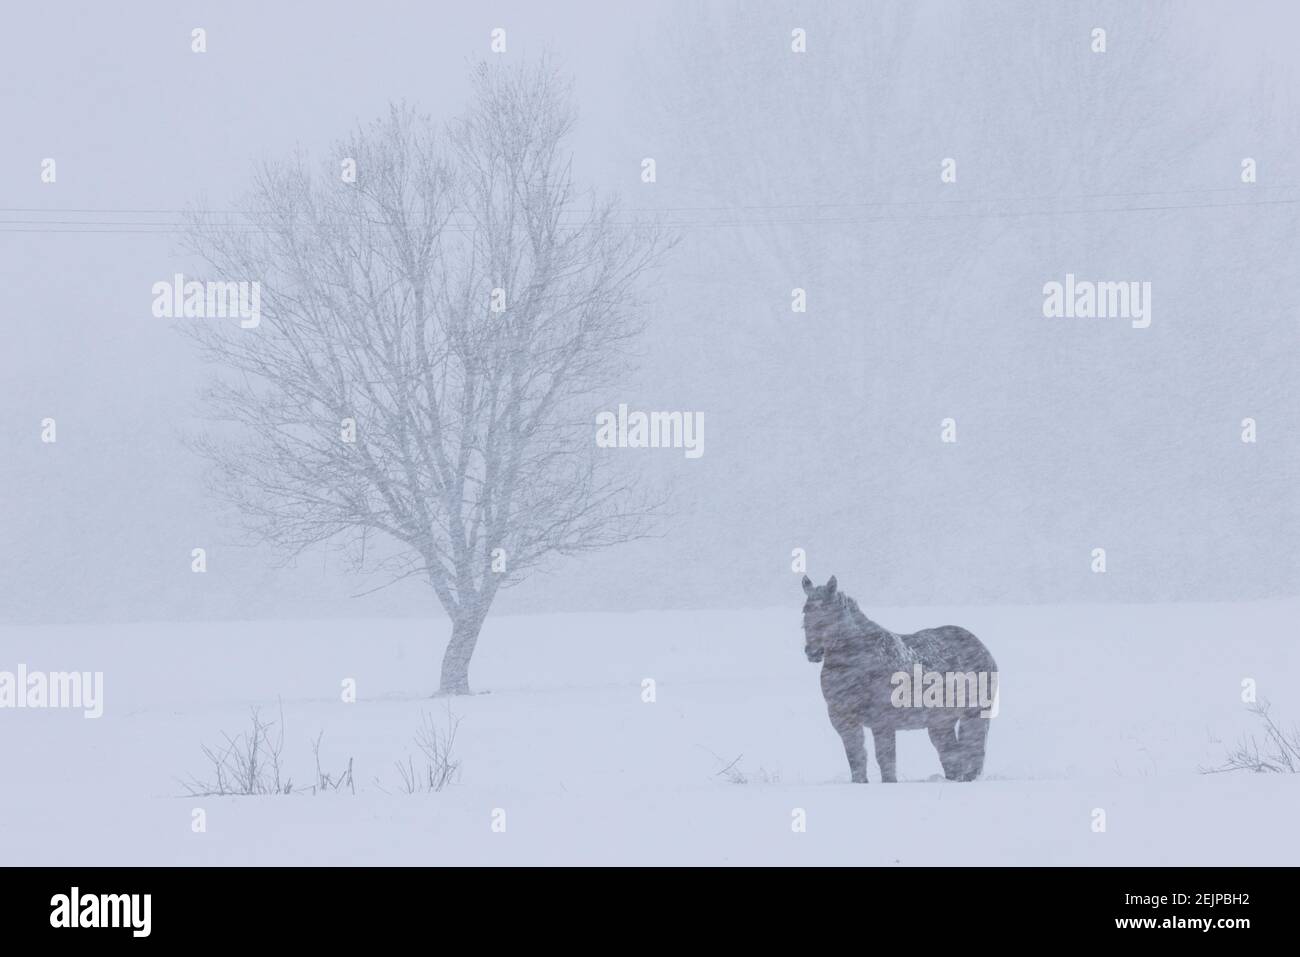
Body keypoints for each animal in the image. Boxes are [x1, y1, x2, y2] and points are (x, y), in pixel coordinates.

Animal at [801, 575, 997, 783]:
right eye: (805, 611)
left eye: (829, 611)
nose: (813, 652)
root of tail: (982, 647)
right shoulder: (843, 720)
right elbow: (856, 756)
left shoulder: (882, 722)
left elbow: (885, 757)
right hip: (941, 722)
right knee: (950, 753)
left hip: (975, 713)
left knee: (973, 749)